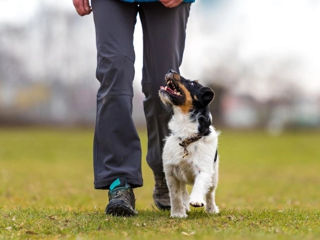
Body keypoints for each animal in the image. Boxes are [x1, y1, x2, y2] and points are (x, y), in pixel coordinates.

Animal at [159, 69, 219, 218]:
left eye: (192, 83)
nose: (171, 70)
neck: (186, 136)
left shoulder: (204, 169)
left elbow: (200, 184)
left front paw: (196, 200)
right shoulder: (170, 172)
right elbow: (175, 195)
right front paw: (178, 213)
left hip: (214, 175)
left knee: (210, 193)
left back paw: (211, 209)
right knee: (183, 191)